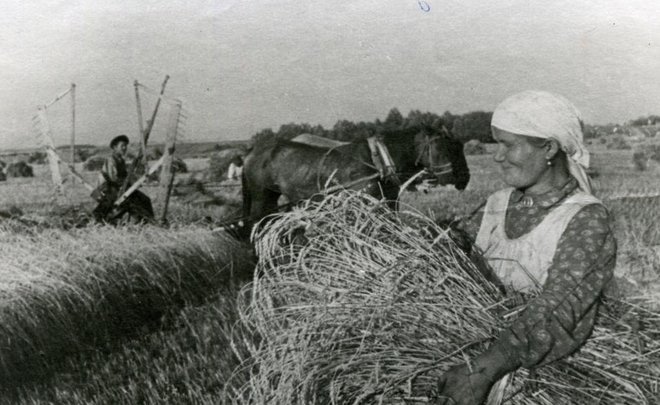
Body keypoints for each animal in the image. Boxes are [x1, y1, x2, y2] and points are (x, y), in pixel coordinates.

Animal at [241, 126, 470, 227]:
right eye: (445, 148)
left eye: (460, 146)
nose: (465, 178)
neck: (378, 161)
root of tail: (252, 151)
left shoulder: (389, 202)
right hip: (261, 198)